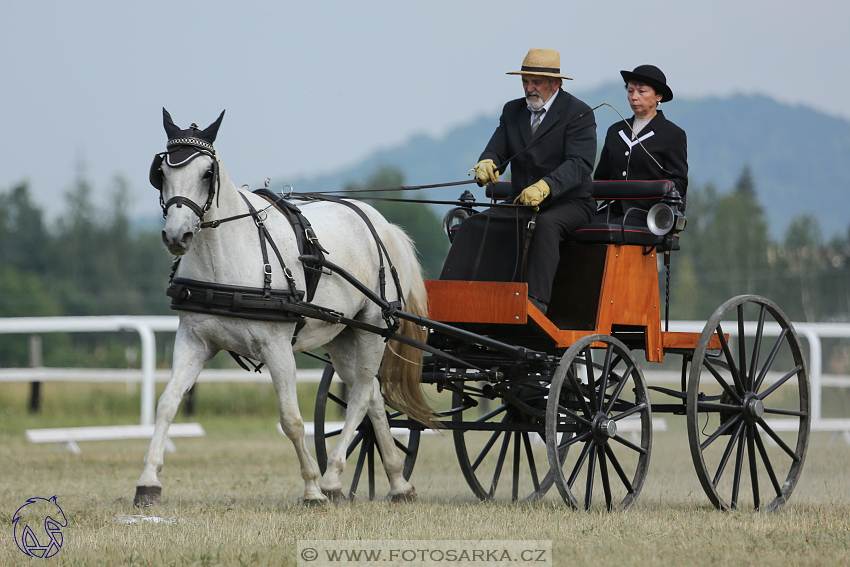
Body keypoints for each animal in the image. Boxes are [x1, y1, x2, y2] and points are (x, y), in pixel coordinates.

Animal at [137, 111, 438, 506]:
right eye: (162, 171)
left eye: (207, 172)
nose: (176, 236)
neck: (227, 259)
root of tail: (384, 225)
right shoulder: (194, 341)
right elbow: (168, 403)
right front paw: (148, 481)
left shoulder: (277, 347)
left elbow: (291, 420)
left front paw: (311, 488)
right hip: (343, 335)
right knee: (371, 392)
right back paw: (396, 481)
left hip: (374, 327)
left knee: (360, 396)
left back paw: (331, 478)